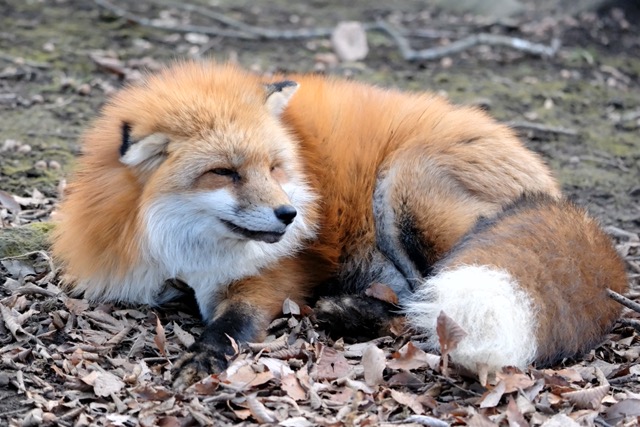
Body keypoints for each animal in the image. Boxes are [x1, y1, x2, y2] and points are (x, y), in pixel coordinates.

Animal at [51, 61, 627, 388]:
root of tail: (556, 193)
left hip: (404, 188)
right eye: (225, 172)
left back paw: (348, 313)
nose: (290, 215)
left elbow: (231, 326)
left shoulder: (269, 278)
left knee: (431, 314)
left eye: (274, 167)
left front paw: (205, 358)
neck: (174, 248)